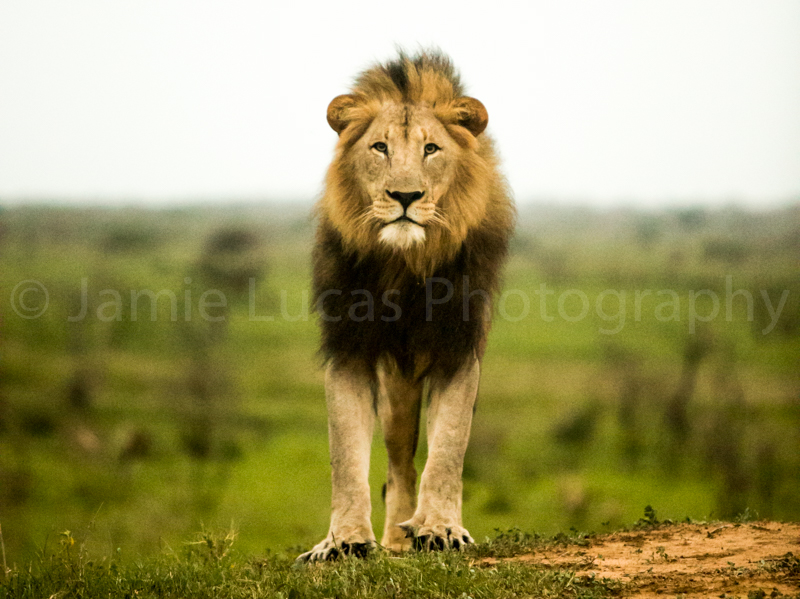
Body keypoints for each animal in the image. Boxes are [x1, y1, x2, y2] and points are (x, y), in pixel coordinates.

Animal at [298, 50, 514, 562]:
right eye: (379, 148)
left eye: (431, 149)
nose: (405, 196)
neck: (404, 263)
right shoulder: (349, 349)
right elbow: (345, 458)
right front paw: (343, 541)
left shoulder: (457, 349)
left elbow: (449, 449)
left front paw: (440, 529)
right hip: (396, 390)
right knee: (398, 468)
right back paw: (396, 540)